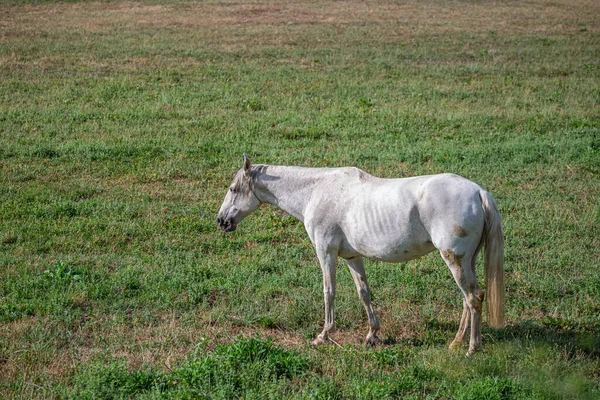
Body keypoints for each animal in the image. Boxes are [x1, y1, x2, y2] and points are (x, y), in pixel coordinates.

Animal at [218, 155, 504, 354]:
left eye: (233, 189)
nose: (221, 221)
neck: (315, 191)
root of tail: (478, 192)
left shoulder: (326, 251)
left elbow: (329, 291)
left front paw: (323, 335)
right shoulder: (352, 257)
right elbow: (363, 292)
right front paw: (372, 335)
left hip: (455, 260)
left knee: (473, 298)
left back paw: (472, 348)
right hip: (466, 262)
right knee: (468, 299)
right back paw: (456, 342)